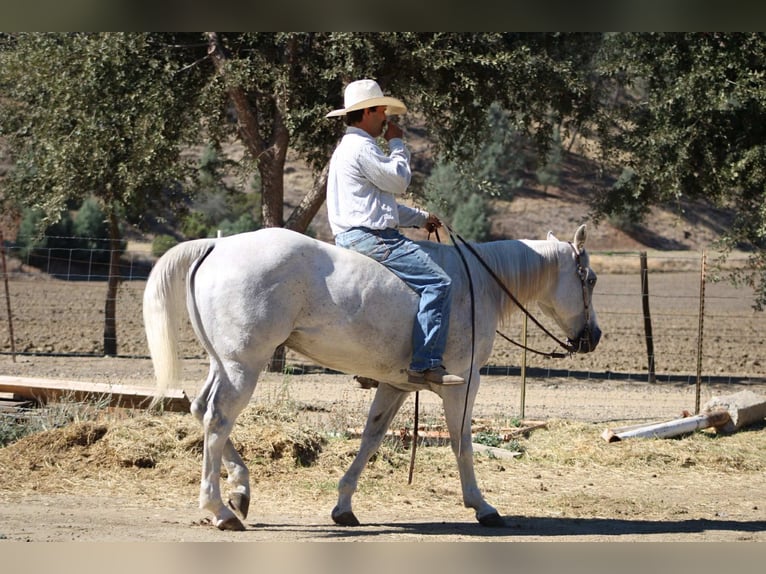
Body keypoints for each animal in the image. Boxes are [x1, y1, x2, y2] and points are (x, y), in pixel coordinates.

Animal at [142, 224, 601, 531]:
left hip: (223, 363)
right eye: (591, 279)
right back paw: (219, 510)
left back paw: (240, 491)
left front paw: (344, 506)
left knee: (201, 410)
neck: (478, 285)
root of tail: (218, 244)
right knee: (218, 420)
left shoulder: (396, 385)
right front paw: (482, 506)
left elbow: (371, 439)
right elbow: (462, 444)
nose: (593, 337)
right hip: (243, 366)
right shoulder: (465, 383)